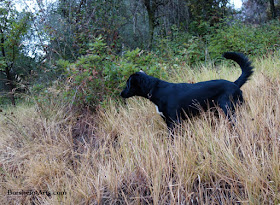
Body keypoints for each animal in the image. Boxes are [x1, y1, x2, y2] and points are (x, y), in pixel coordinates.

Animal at [120, 52, 254, 131]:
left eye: (128, 84)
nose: (121, 94)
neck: (156, 90)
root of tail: (234, 83)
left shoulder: (175, 122)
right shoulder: (168, 121)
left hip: (228, 110)